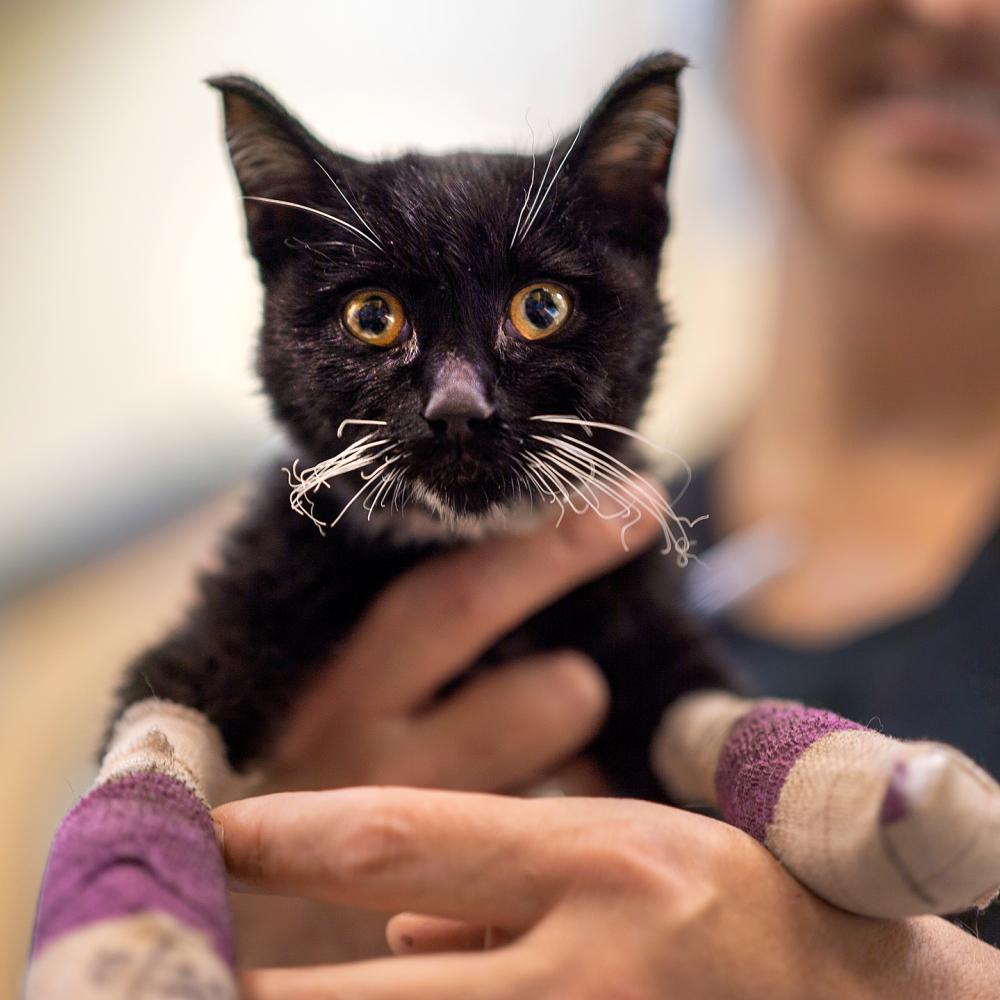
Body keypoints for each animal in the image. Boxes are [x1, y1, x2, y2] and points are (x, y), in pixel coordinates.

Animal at [113, 54, 732, 800]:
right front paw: (131, 826)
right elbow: (170, 704)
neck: (457, 538)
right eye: (372, 316)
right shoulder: (265, 565)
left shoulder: (642, 612)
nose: (458, 407)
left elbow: (698, 707)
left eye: (542, 308)